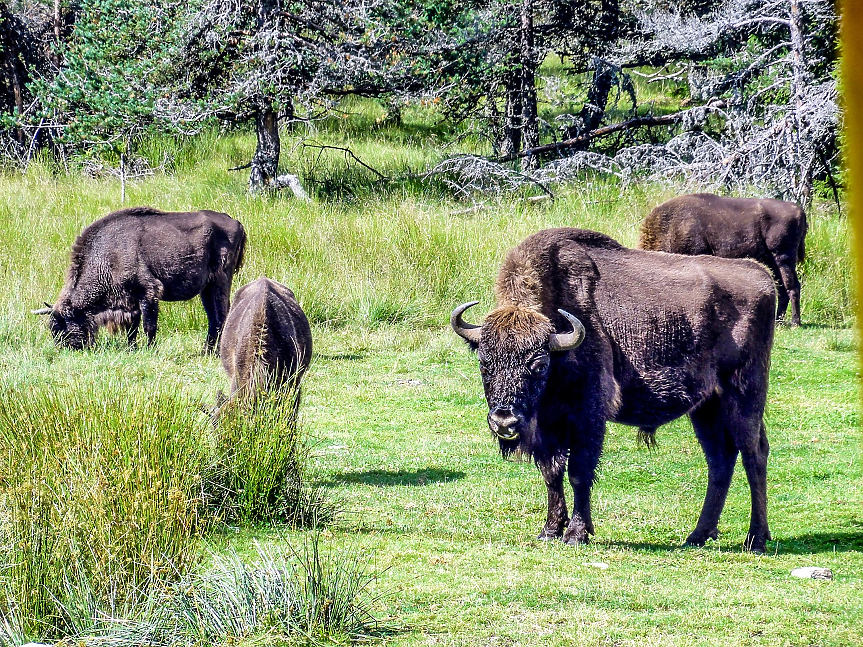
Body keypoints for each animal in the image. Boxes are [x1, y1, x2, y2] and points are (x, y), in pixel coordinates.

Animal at [33, 208, 246, 352]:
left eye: (63, 327)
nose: (68, 349)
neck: (108, 254)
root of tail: (236, 222)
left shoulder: (149, 293)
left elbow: (148, 325)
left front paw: (150, 349)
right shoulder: (130, 301)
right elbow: (132, 328)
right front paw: (131, 348)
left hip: (220, 281)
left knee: (220, 315)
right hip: (207, 288)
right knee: (213, 318)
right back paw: (206, 351)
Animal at [452, 227, 776, 552]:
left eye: (540, 365)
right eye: (484, 363)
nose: (504, 421)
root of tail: (763, 276)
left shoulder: (588, 417)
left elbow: (579, 472)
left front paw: (576, 533)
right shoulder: (547, 424)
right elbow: (551, 472)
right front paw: (549, 530)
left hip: (744, 397)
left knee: (753, 454)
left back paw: (756, 539)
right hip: (706, 408)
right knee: (720, 460)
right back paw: (697, 535)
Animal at [636, 192, 808, 324]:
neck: (672, 227)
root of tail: (799, 210)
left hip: (783, 258)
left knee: (792, 287)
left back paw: (795, 322)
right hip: (772, 261)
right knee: (783, 289)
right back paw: (779, 321)